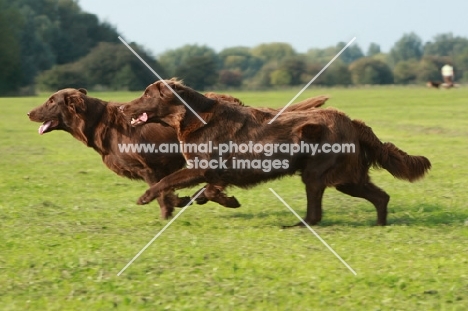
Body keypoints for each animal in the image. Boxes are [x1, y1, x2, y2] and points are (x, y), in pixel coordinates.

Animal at [120, 79, 432, 227]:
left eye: (146, 95)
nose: (122, 107)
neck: (195, 118)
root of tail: (352, 122)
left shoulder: (201, 166)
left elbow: (168, 181)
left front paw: (145, 197)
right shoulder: (215, 171)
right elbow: (203, 191)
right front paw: (224, 200)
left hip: (318, 174)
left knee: (316, 213)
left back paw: (298, 226)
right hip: (348, 179)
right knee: (381, 196)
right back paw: (380, 225)